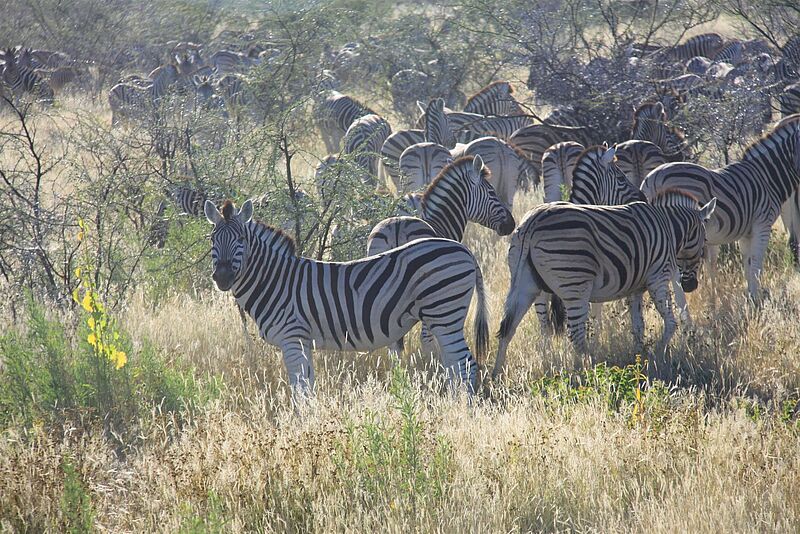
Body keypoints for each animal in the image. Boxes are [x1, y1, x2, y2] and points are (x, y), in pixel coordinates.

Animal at [205, 200, 488, 398]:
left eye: (241, 239)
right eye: (212, 239)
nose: (222, 277)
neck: (276, 280)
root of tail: (465, 251)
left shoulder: (292, 338)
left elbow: (299, 390)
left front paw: (301, 425)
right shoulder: (303, 342)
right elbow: (308, 387)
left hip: (444, 312)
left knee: (465, 366)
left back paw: (462, 412)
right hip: (442, 318)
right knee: (453, 367)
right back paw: (452, 404)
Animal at [496, 191, 716, 378]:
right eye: (705, 239)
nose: (690, 286)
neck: (669, 228)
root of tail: (532, 221)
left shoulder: (636, 289)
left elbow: (638, 326)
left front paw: (639, 357)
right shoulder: (658, 277)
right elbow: (671, 322)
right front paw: (658, 357)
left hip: (527, 284)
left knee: (510, 329)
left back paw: (496, 375)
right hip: (575, 284)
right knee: (576, 334)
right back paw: (589, 370)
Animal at [640, 115, 800, 304]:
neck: (767, 177)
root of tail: (653, 179)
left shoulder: (746, 232)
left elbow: (748, 264)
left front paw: (750, 297)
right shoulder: (762, 224)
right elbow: (756, 263)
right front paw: (756, 298)